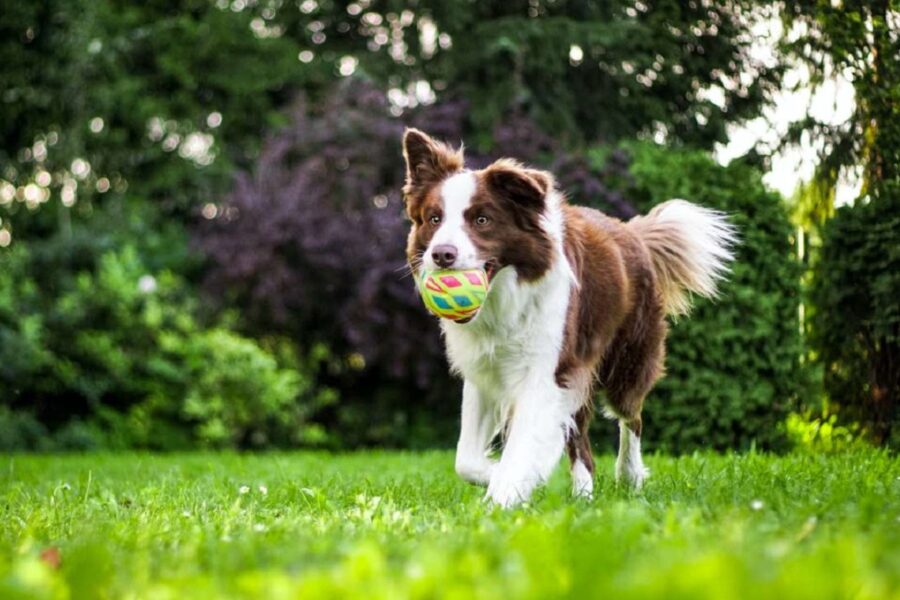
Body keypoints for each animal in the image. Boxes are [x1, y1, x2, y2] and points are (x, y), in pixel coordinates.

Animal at [402, 129, 740, 508]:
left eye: (482, 220)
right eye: (434, 219)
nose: (441, 254)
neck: (504, 298)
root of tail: (633, 232)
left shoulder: (547, 371)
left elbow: (522, 445)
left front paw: (504, 495)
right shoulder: (485, 371)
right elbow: (466, 460)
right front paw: (506, 477)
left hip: (627, 361)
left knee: (631, 416)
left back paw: (629, 475)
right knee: (582, 443)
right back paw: (583, 495)